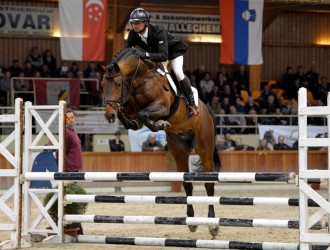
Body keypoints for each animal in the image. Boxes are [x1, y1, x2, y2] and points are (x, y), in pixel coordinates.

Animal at [98, 47, 222, 237]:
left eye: (118, 85)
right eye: (103, 85)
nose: (108, 115)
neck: (139, 79)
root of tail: (208, 112)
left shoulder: (162, 106)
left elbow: (143, 114)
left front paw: (160, 124)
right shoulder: (129, 106)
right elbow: (131, 117)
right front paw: (143, 123)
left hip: (204, 148)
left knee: (209, 184)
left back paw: (212, 225)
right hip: (179, 152)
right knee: (187, 184)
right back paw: (192, 222)